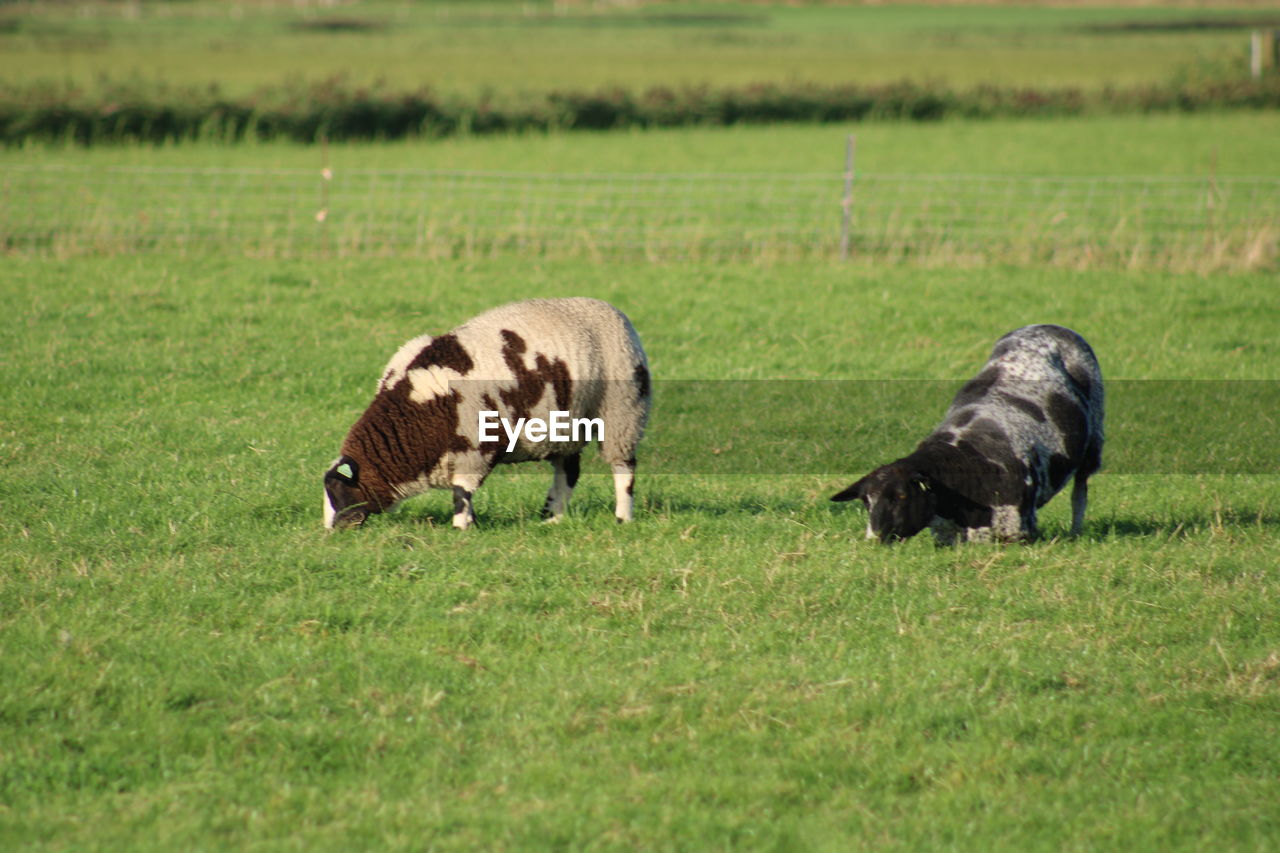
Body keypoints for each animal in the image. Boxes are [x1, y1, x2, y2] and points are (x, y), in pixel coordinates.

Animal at [325, 297, 655, 525]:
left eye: (338, 491)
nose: (333, 531)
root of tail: (610, 310)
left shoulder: (475, 447)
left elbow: (462, 492)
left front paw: (461, 527)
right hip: (568, 424)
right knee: (568, 472)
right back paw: (552, 518)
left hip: (622, 411)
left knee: (623, 467)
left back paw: (623, 517)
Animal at [829, 322, 1100, 540]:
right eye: (866, 501)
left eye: (903, 496)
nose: (874, 538)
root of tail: (1048, 326)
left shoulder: (1020, 532)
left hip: (1094, 441)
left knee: (1080, 493)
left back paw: (1076, 533)